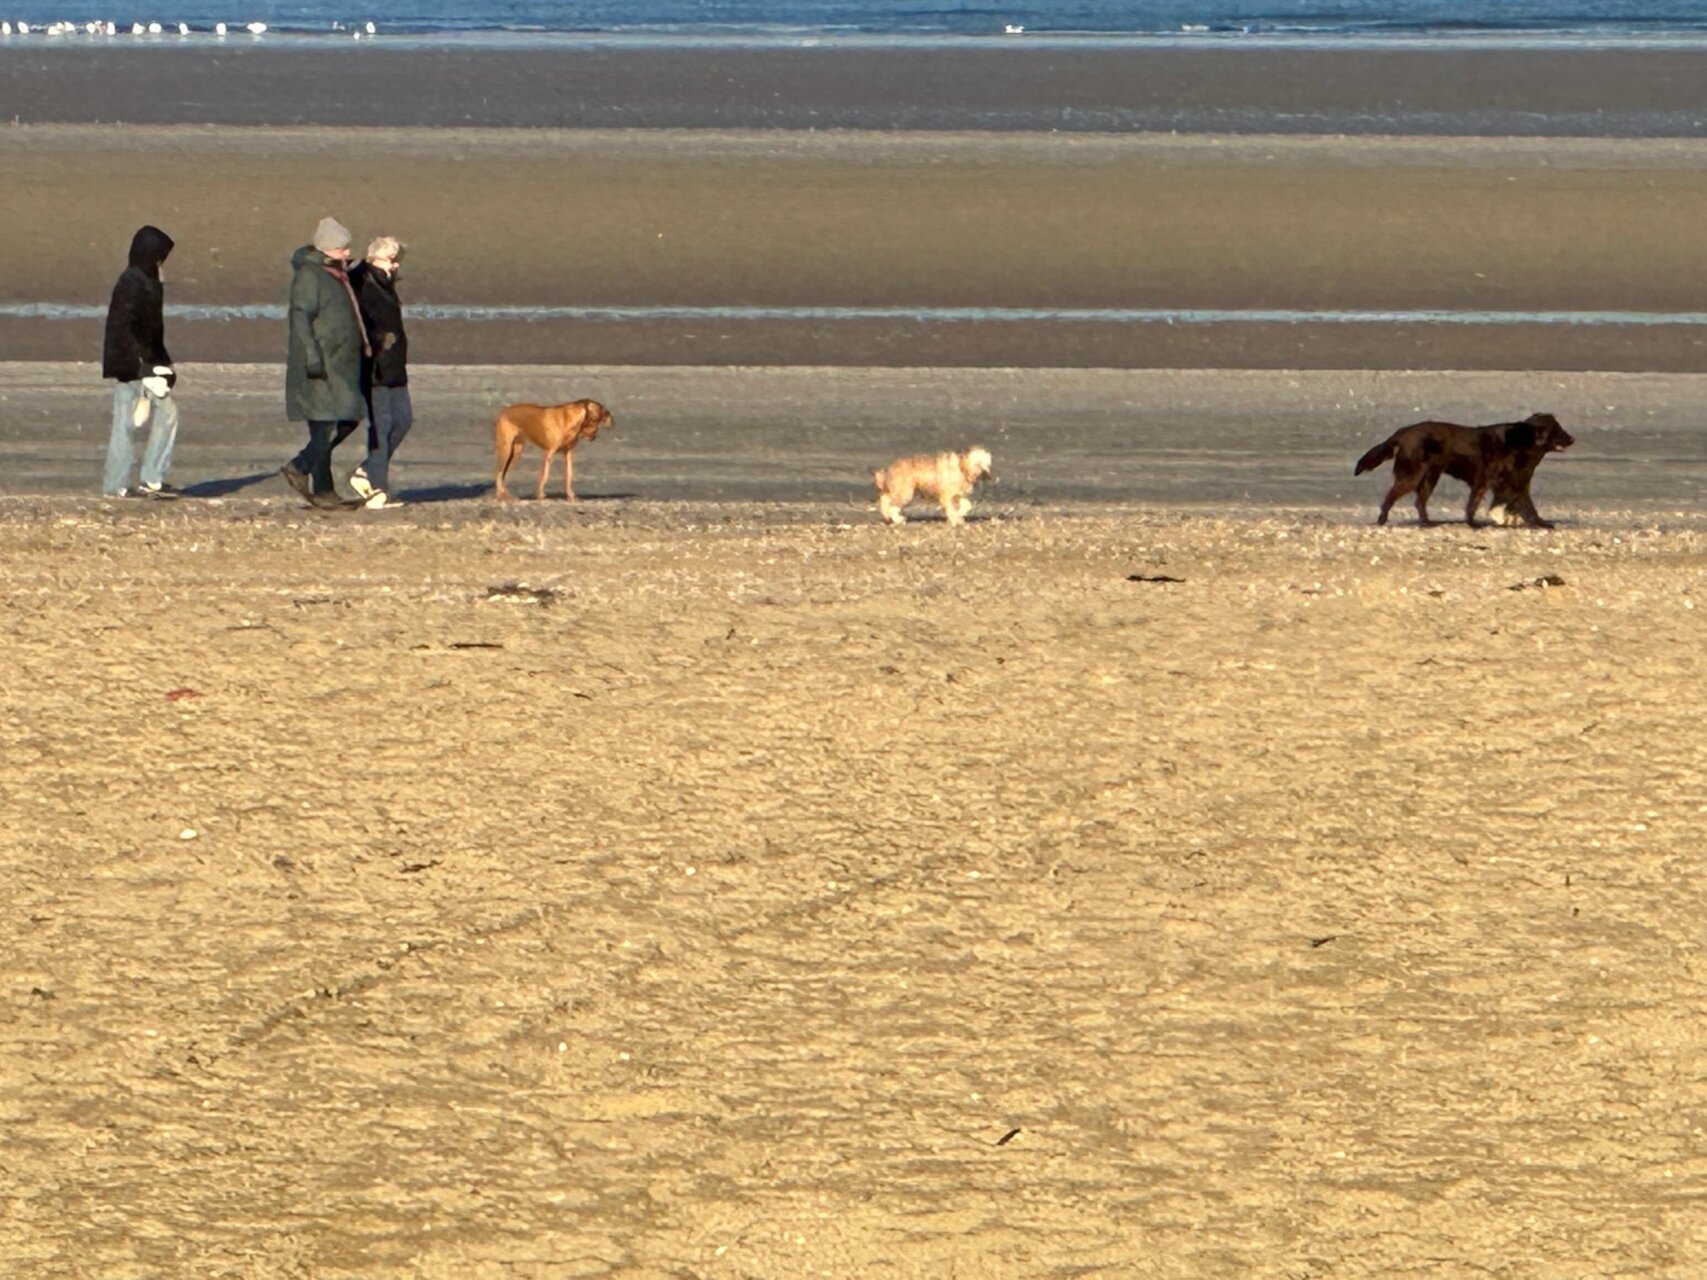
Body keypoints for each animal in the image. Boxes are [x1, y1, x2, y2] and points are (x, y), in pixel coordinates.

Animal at [1345, 413, 1570, 529]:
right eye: (1559, 431)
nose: (1573, 438)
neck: (1521, 442)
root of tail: (1400, 433)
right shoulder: (1484, 481)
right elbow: (1473, 506)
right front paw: (1473, 524)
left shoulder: (1519, 484)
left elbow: (1525, 506)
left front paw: (1538, 523)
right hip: (1414, 475)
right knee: (1390, 497)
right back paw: (1382, 520)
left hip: (1430, 476)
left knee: (1419, 502)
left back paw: (1428, 523)